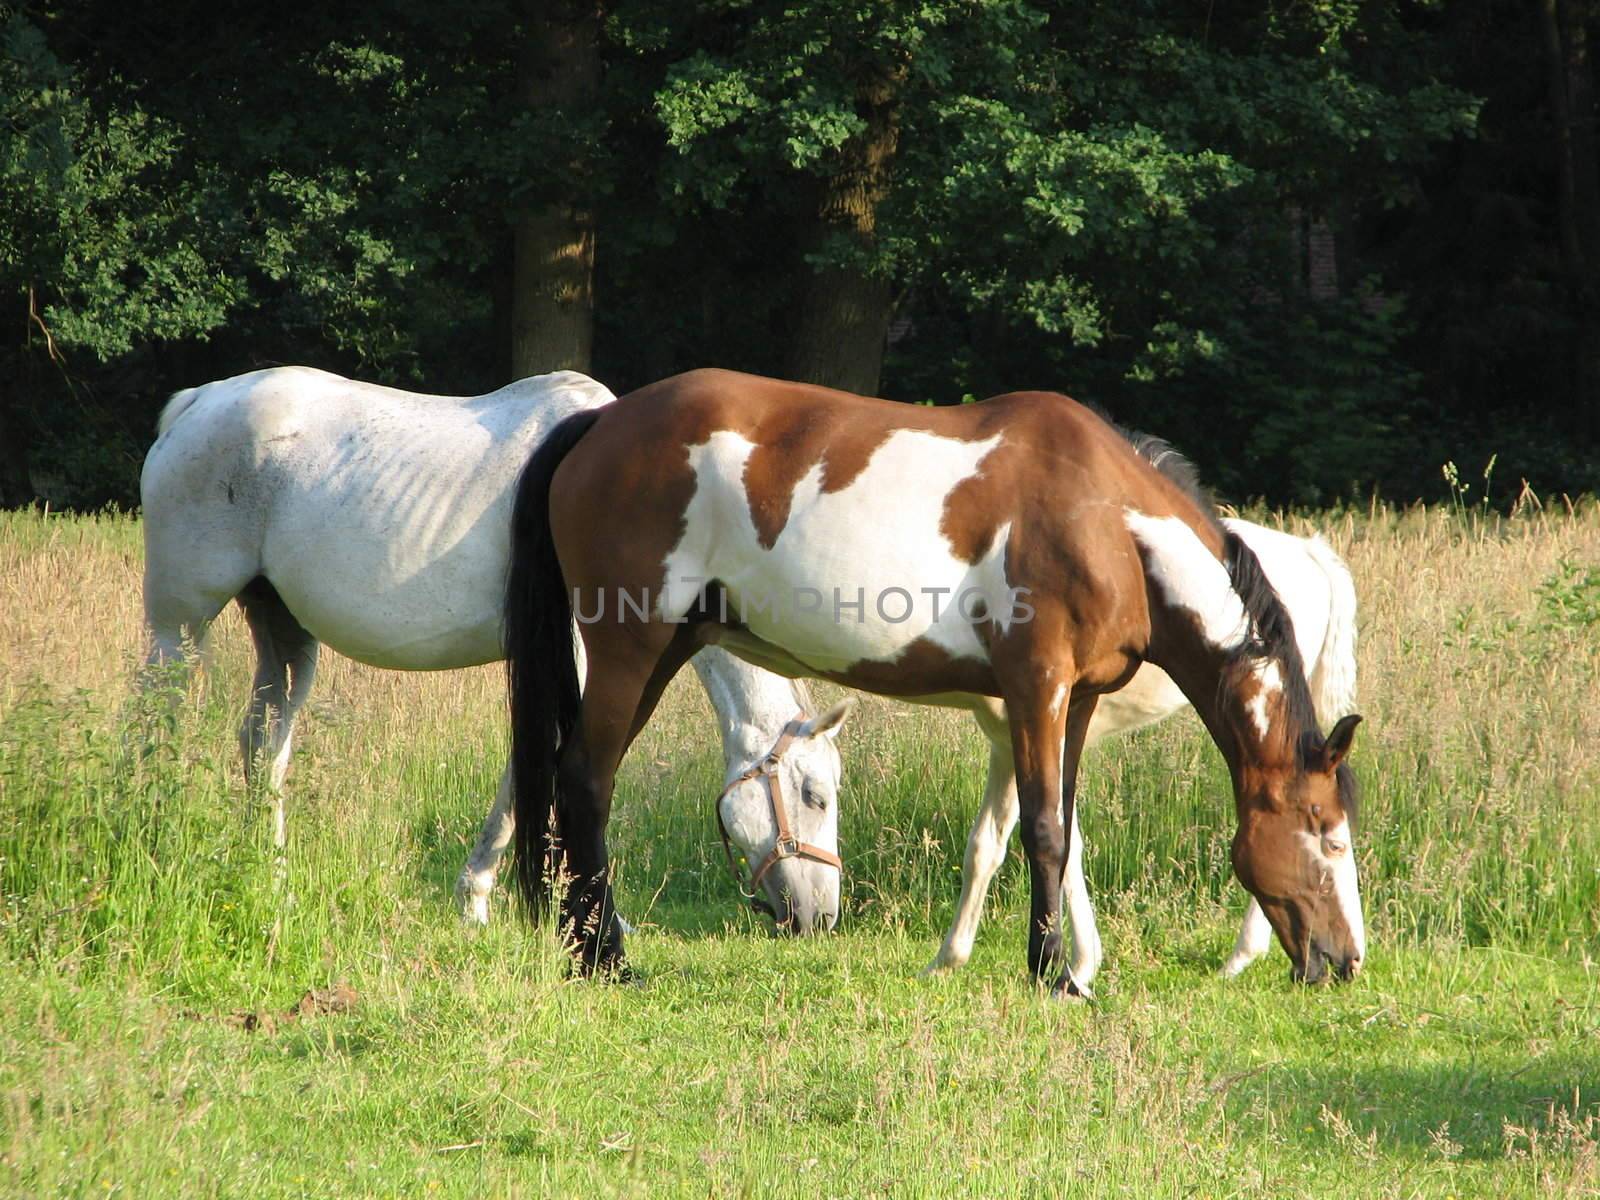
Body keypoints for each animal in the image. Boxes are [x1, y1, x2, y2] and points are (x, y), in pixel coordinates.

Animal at [140, 366, 851, 928]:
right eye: (814, 793)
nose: (821, 916)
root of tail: (196, 404)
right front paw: (501, 903)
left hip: (284, 631)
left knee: (264, 744)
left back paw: (272, 882)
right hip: (178, 625)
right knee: (154, 724)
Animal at [505, 371, 1369, 992]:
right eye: (1326, 831)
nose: (1345, 960)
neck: (1108, 522)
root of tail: (600, 427)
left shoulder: (1076, 702)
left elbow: (1054, 827)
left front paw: (1061, 969)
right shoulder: (1035, 691)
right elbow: (1044, 831)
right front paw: (1049, 975)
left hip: (660, 651)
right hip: (629, 651)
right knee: (584, 783)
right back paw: (607, 961)